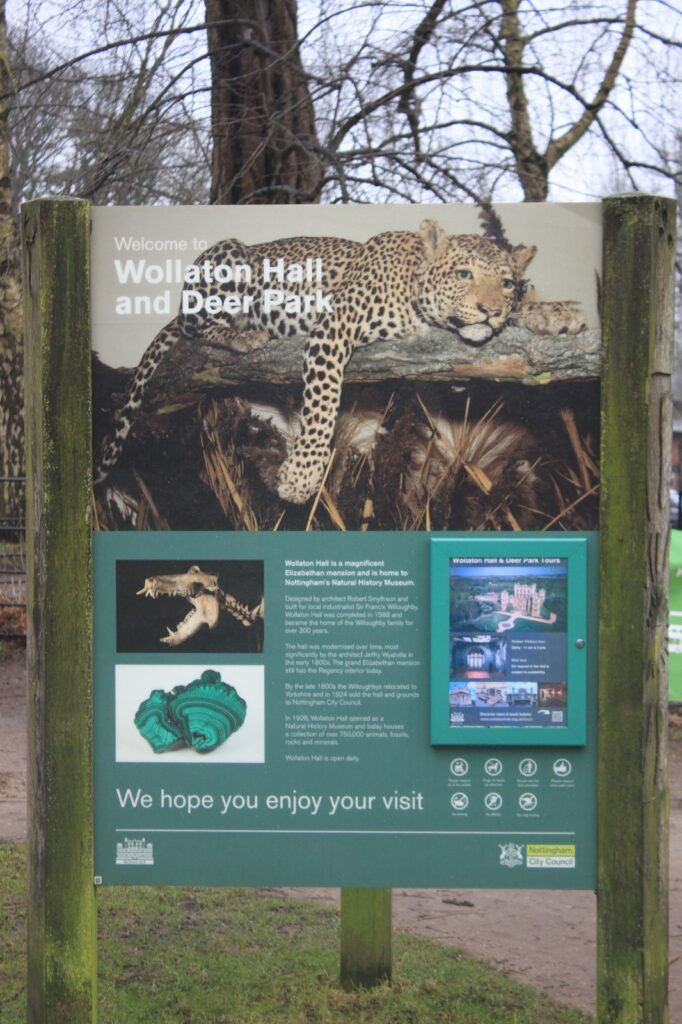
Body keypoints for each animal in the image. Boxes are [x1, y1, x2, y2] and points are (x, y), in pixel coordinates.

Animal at [94, 218, 585, 505]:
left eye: (506, 283)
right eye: (463, 274)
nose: (489, 310)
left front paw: (557, 313)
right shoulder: (334, 326)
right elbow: (322, 405)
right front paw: (301, 475)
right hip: (228, 258)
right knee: (196, 325)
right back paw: (243, 334)